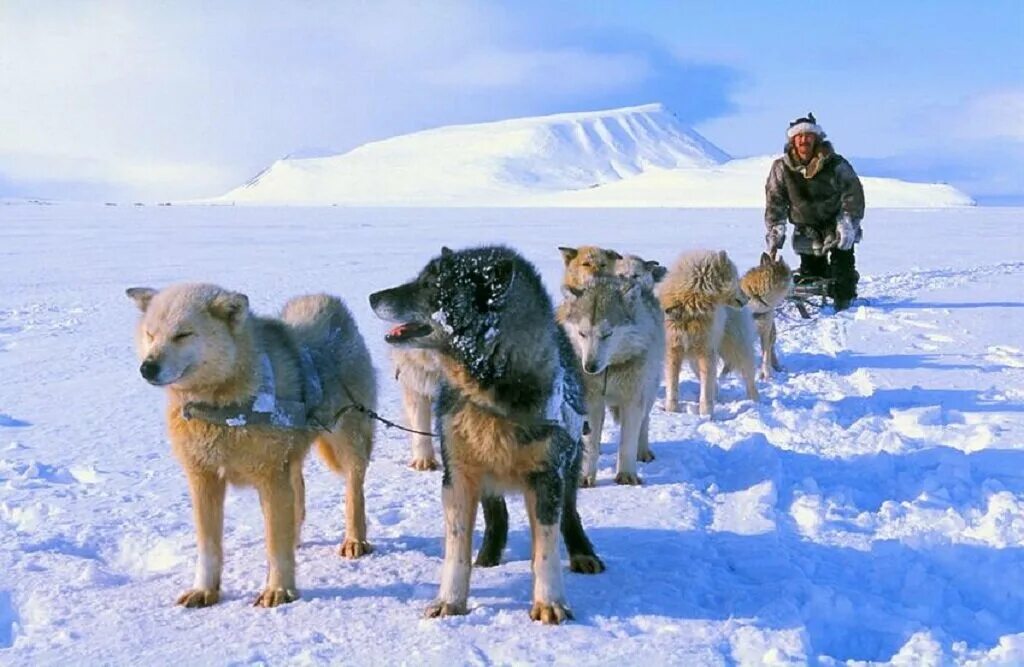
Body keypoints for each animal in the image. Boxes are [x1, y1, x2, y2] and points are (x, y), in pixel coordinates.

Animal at [128, 284, 376, 606]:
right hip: (291, 456)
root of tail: (326, 302)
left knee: (353, 491)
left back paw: (355, 539)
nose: (147, 367)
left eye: (183, 334)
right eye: (150, 334)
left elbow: (275, 546)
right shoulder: (204, 479)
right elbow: (209, 547)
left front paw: (278, 590)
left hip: (348, 442)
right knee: (299, 492)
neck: (221, 409)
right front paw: (204, 590)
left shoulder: (270, 478)